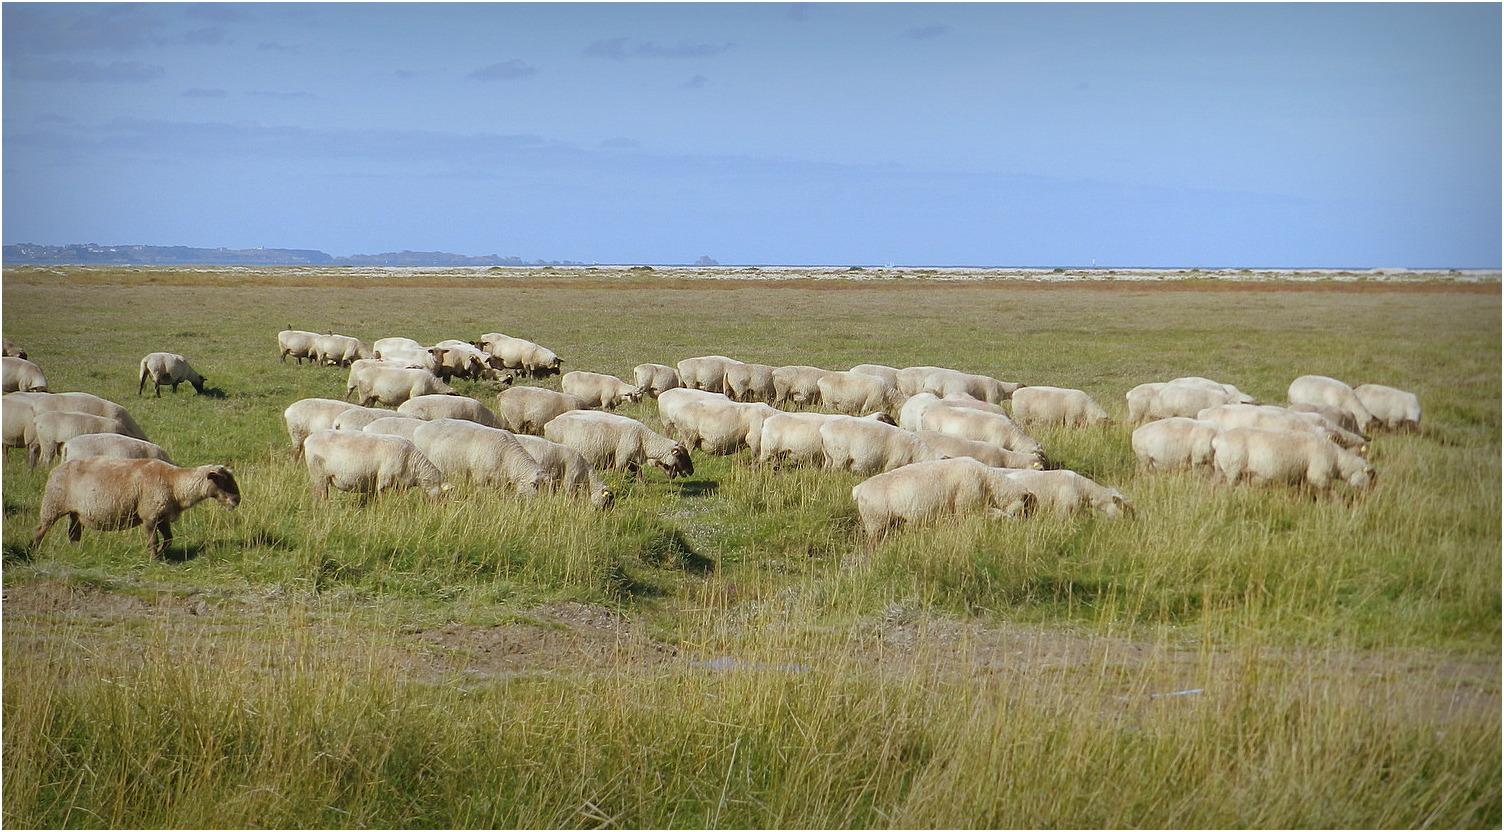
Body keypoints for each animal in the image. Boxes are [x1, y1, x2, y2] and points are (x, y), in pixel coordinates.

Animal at [32, 457, 239, 562]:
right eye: (221, 480)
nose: (237, 500)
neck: (175, 484)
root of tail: (55, 470)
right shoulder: (149, 514)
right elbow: (154, 540)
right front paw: (154, 559)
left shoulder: (162, 516)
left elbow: (169, 539)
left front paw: (160, 554)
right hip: (53, 504)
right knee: (40, 529)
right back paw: (33, 551)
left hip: (76, 513)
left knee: (74, 534)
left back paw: (77, 553)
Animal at [302, 427, 448, 499]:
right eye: (444, 496)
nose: (439, 511)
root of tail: (309, 439)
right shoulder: (384, 479)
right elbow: (381, 497)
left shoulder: (399, 485)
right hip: (318, 474)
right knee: (321, 494)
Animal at [544, 409, 694, 475]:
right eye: (681, 456)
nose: (691, 471)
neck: (644, 439)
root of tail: (549, 424)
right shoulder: (622, 458)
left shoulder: (630, 459)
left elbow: (638, 472)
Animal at [854, 457, 1040, 541]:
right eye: (1027, 508)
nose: (1028, 526)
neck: (989, 483)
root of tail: (859, 488)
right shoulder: (968, 509)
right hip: (876, 522)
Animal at [1209, 424, 1377, 490]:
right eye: (1370, 478)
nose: (1368, 495)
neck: (1338, 460)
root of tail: (1218, 440)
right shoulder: (1318, 476)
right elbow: (1330, 493)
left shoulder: (1302, 478)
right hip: (1233, 468)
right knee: (1230, 486)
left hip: (1220, 468)